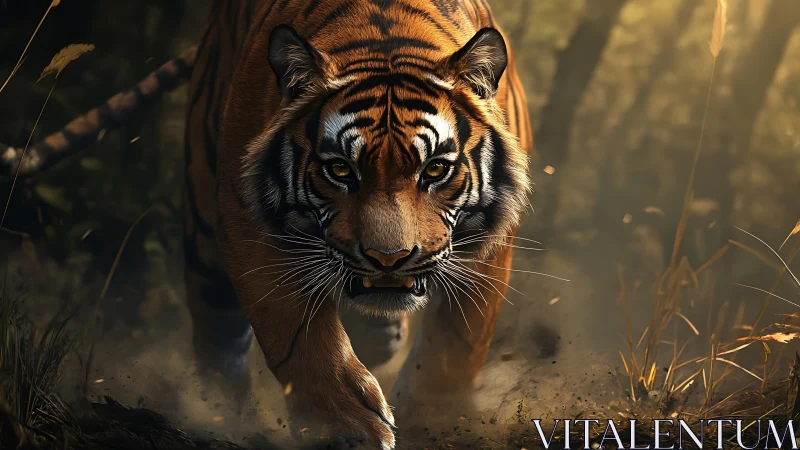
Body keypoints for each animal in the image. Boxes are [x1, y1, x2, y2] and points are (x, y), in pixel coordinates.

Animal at [1, 0, 532, 447]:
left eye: (435, 170)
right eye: (340, 170)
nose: (388, 260)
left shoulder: (489, 244)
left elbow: (455, 347)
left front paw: (433, 420)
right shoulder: (247, 220)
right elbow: (294, 329)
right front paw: (345, 426)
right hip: (203, 226)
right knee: (217, 341)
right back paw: (219, 415)